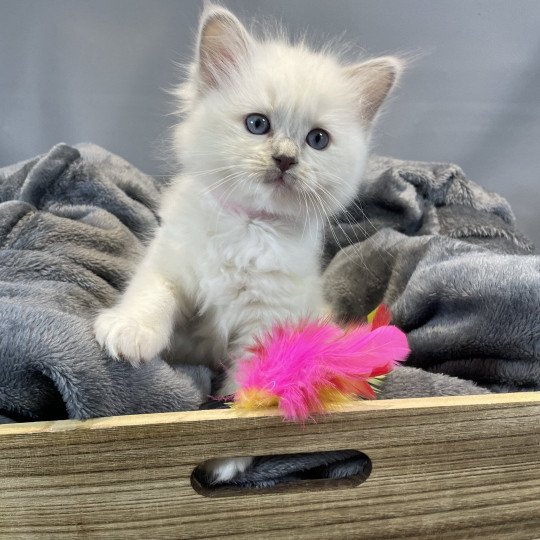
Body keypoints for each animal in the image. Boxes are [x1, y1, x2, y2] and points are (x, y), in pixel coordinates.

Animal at [95, 4, 402, 484]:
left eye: (317, 139)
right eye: (258, 125)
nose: (285, 159)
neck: (248, 227)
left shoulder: (267, 321)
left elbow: (248, 385)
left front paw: (227, 454)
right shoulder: (170, 265)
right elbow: (152, 294)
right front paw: (131, 332)